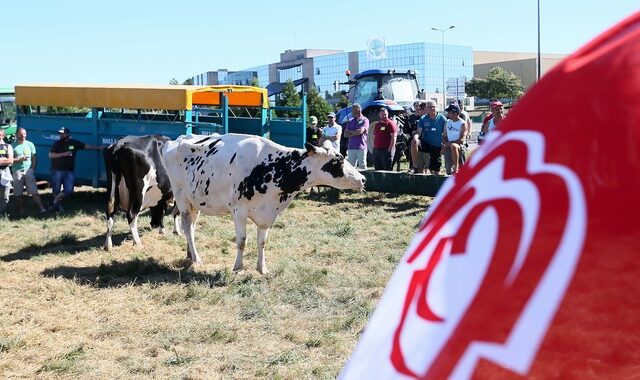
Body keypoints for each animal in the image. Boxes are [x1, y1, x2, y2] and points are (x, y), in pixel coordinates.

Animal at [162, 134, 368, 274]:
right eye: (337, 161)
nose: (363, 179)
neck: (272, 167)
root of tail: (176, 140)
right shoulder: (239, 211)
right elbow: (242, 241)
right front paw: (238, 267)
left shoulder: (267, 213)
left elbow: (262, 242)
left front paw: (262, 268)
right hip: (181, 197)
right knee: (187, 227)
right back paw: (196, 258)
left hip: (195, 201)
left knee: (192, 228)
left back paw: (190, 254)